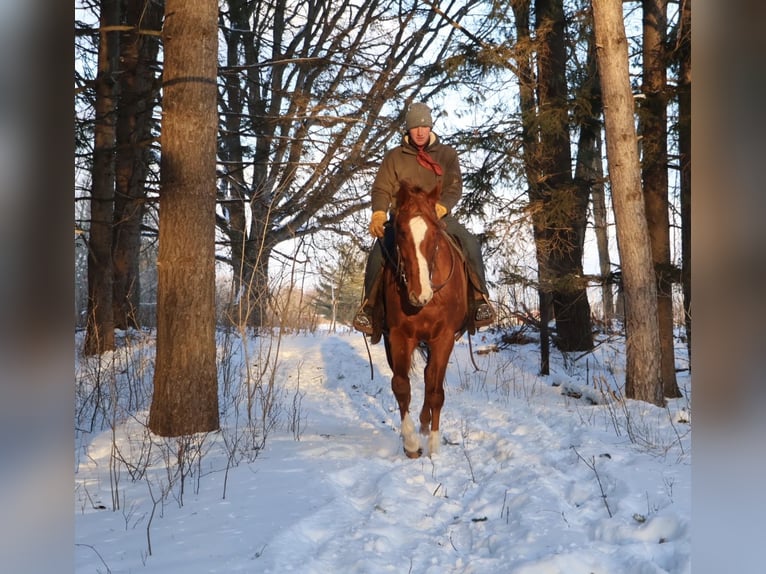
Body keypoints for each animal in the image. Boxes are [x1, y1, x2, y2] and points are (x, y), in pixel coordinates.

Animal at [381, 181, 469, 458]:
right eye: (400, 231)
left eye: (435, 233)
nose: (421, 294)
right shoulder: (398, 335)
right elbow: (401, 385)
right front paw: (410, 443)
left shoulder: (444, 338)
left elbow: (436, 391)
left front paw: (433, 444)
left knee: (431, 380)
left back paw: (426, 424)